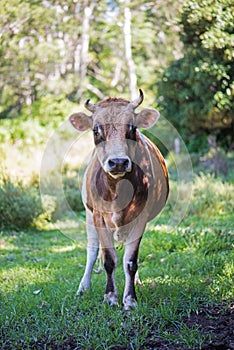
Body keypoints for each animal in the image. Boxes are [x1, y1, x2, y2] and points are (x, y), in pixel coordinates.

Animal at [68, 90, 169, 312]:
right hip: (88, 213)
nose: (118, 162)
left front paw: (130, 299)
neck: (117, 189)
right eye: (96, 130)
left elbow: (130, 261)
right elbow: (108, 259)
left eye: (132, 128)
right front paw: (110, 297)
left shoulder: (141, 217)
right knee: (92, 250)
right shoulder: (98, 216)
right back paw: (83, 287)